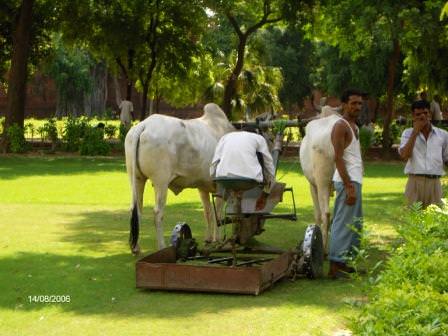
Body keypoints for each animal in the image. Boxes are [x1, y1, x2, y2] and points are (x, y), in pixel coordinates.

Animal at [125, 103, 234, 253]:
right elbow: (218, 213)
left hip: (136, 178)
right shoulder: (221, 186)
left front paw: (208, 239)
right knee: (157, 212)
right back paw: (161, 246)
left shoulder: (203, 187)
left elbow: (208, 213)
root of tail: (144, 125)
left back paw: (136, 248)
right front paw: (217, 240)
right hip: (161, 181)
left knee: (136, 210)